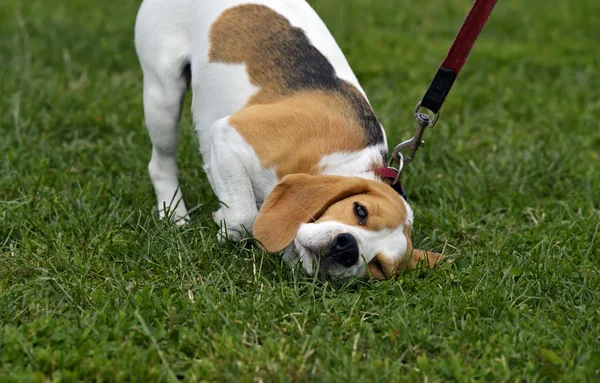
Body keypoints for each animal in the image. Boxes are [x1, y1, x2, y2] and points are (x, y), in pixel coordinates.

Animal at [136, 0, 442, 282]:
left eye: (378, 267)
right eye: (360, 211)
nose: (348, 249)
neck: (347, 164)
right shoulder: (230, 136)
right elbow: (245, 217)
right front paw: (226, 222)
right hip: (163, 95)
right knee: (159, 164)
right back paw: (175, 214)